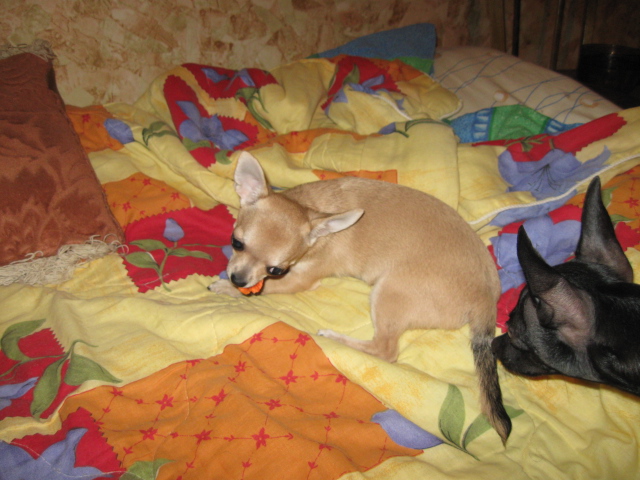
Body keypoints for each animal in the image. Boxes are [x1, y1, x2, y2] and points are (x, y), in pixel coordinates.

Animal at [209, 151, 512, 443]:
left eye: (276, 270)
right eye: (236, 242)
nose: (239, 279)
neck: (312, 209)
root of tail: (488, 298)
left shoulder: (298, 279)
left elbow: (264, 289)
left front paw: (226, 288)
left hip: (388, 291)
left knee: (385, 349)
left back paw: (334, 338)